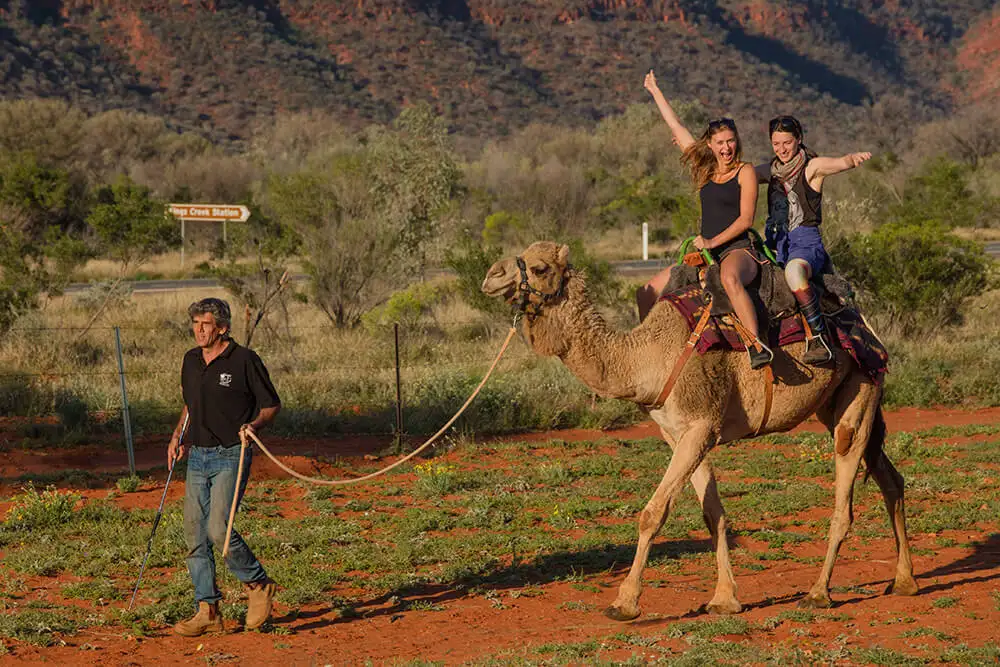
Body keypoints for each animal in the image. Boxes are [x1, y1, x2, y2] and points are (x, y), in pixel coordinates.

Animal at [480, 241, 916, 620]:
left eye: (540, 268)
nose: (491, 275)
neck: (647, 360)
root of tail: (862, 321)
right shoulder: (682, 432)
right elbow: (713, 514)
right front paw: (725, 599)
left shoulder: (700, 425)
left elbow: (653, 512)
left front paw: (625, 603)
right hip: (838, 399)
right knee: (890, 479)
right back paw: (905, 581)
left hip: (861, 385)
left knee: (846, 487)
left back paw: (818, 593)